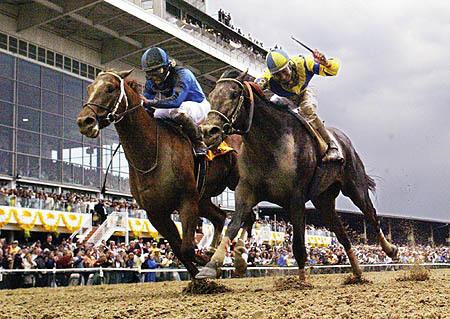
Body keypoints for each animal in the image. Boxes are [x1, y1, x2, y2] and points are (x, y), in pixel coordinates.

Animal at [76, 70, 239, 278]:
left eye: (110, 88)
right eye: (89, 88)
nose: (84, 121)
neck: (153, 150)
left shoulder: (187, 201)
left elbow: (187, 248)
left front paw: (207, 262)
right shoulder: (156, 212)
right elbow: (179, 249)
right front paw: (204, 268)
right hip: (203, 197)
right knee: (219, 216)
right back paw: (213, 251)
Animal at [197, 71, 398, 282]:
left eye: (234, 94)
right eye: (212, 96)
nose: (208, 131)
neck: (270, 144)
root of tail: (343, 140)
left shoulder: (296, 197)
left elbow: (299, 244)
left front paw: (301, 280)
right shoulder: (247, 191)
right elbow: (233, 225)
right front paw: (212, 265)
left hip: (354, 186)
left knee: (371, 215)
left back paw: (390, 249)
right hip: (324, 200)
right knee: (341, 233)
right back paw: (357, 271)